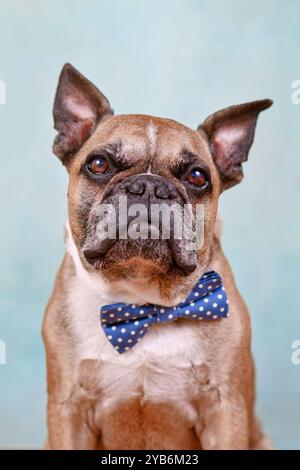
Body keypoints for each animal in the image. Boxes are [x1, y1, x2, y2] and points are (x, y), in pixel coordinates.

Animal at [42, 62, 274, 448]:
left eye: (197, 176)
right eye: (99, 164)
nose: (150, 186)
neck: (143, 302)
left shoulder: (225, 410)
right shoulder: (69, 409)